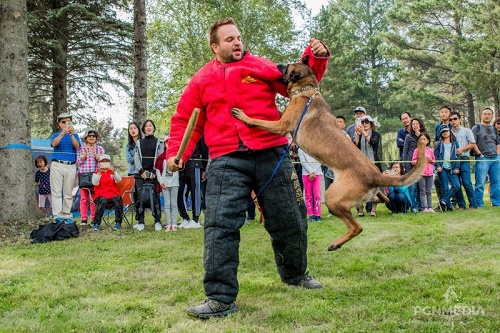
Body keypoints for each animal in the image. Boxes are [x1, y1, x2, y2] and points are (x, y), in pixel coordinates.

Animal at [230, 56, 426, 249]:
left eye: (287, 67)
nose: (277, 64)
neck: (307, 90)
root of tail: (375, 176)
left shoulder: (280, 125)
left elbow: (258, 121)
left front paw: (243, 116)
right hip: (360, 194)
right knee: (381, 199)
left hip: (332, 198)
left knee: (357, 227)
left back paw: (336, 244)